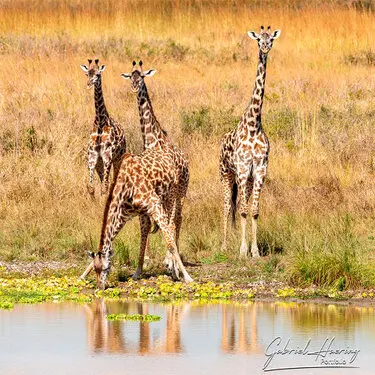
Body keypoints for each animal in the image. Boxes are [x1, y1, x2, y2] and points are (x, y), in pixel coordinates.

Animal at [80, 58, 127, 197]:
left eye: (97, 74)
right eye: (87, 74)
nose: (89, 84)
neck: (100, 123)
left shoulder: (107, 157)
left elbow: (104, 188)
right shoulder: (93, 157)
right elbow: (91, 188)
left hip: (117, 159)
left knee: (112, 181)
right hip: (100, 164)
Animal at [82, 148, 194, 290]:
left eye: (106, 269)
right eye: (96, 270)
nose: (100, 287)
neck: (126, 187)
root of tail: (179, 152)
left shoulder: (154, 204)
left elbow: (171, 244)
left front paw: (187, 277)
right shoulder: (128, 215)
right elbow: (140, 236)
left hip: (179, 193)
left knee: (175, 223)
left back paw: (173, 269)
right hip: (166, 200)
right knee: (165, 226)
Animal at [219, 25, 280, 258]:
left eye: (271, 39)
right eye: (258, 40)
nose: (265, 48)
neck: (254, 125)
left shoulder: (260, 169)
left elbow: (253, 211)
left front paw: (254, 251)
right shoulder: (243, 169)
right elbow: (243, 210)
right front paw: (243, 250)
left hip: (247, 178)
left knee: (239, 205)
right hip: (226, 175)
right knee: (227, 206)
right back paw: (224, 245)